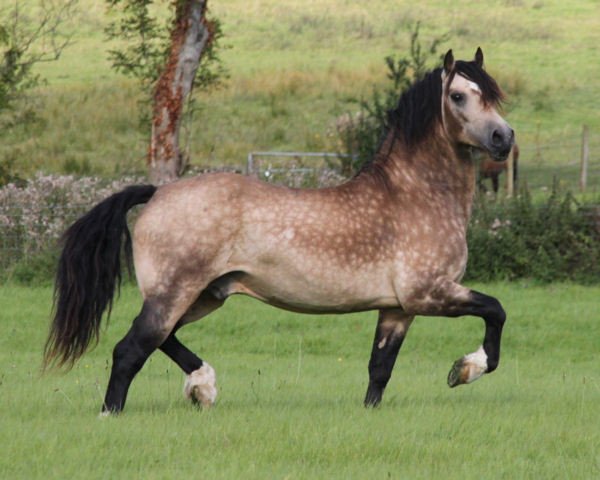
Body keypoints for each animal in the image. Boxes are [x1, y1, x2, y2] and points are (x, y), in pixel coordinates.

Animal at [45, 49, 516, 416]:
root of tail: (158, 192)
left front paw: (371, 412)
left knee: (163, 339)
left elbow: (379, 368)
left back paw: (202, 386)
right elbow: (496, 310)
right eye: (458, 96)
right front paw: (465, 369)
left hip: (205, 294)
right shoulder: (430, 293)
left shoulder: (398, 308)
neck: (413, 195)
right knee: (132, 349)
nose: (503, 137)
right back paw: (116, 412)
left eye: (493, 96)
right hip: (175, 293)